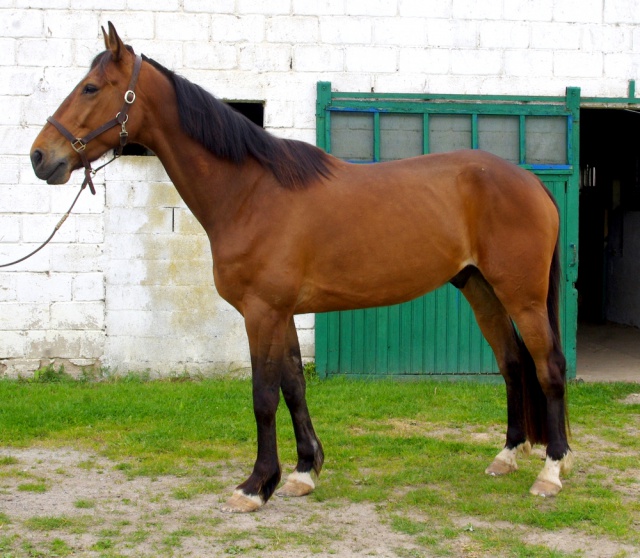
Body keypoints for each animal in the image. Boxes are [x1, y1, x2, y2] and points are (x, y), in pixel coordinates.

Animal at [30, 24, 572, 516]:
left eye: (90, 88)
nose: (40, 157)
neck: (251, 192)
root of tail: (531, 183)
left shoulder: (261, 312)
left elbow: (263, 397)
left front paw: (254, 486)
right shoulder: (283, 312)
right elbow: (294, 387)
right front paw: (304, 472)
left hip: (521, 296)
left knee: (548, 367)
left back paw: (551, 472)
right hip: (481, 290)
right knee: (512, 363)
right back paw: (508, 455)